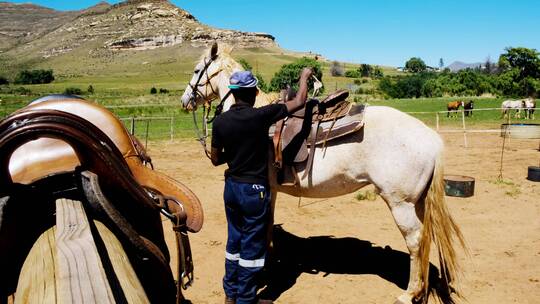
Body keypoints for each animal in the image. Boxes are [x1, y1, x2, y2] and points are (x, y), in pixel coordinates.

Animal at [180, 43, 464, 304]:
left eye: (195, 70)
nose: (185, 101)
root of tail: (431, 138)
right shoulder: (270, 190)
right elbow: (268, 227)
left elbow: (264, 230)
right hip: (418, 202)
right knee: (424, 239)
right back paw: (421, 289)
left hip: (400, 203)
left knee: (415, 241)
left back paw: (409, 293)